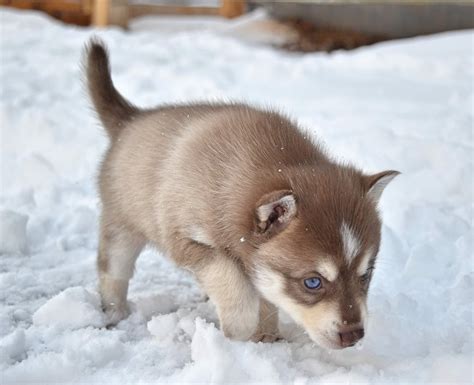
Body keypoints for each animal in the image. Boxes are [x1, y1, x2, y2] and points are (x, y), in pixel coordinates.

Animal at [83, 39, 398, 348]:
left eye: (365, 274)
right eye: (313, 282)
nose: (354, 335)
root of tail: (131, 118)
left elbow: (261, 289)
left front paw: (266, 333)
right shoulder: (184, 239)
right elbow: (230, 277)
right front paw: (240, 326)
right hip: (121, 228)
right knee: (113, 271)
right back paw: (114, 313)